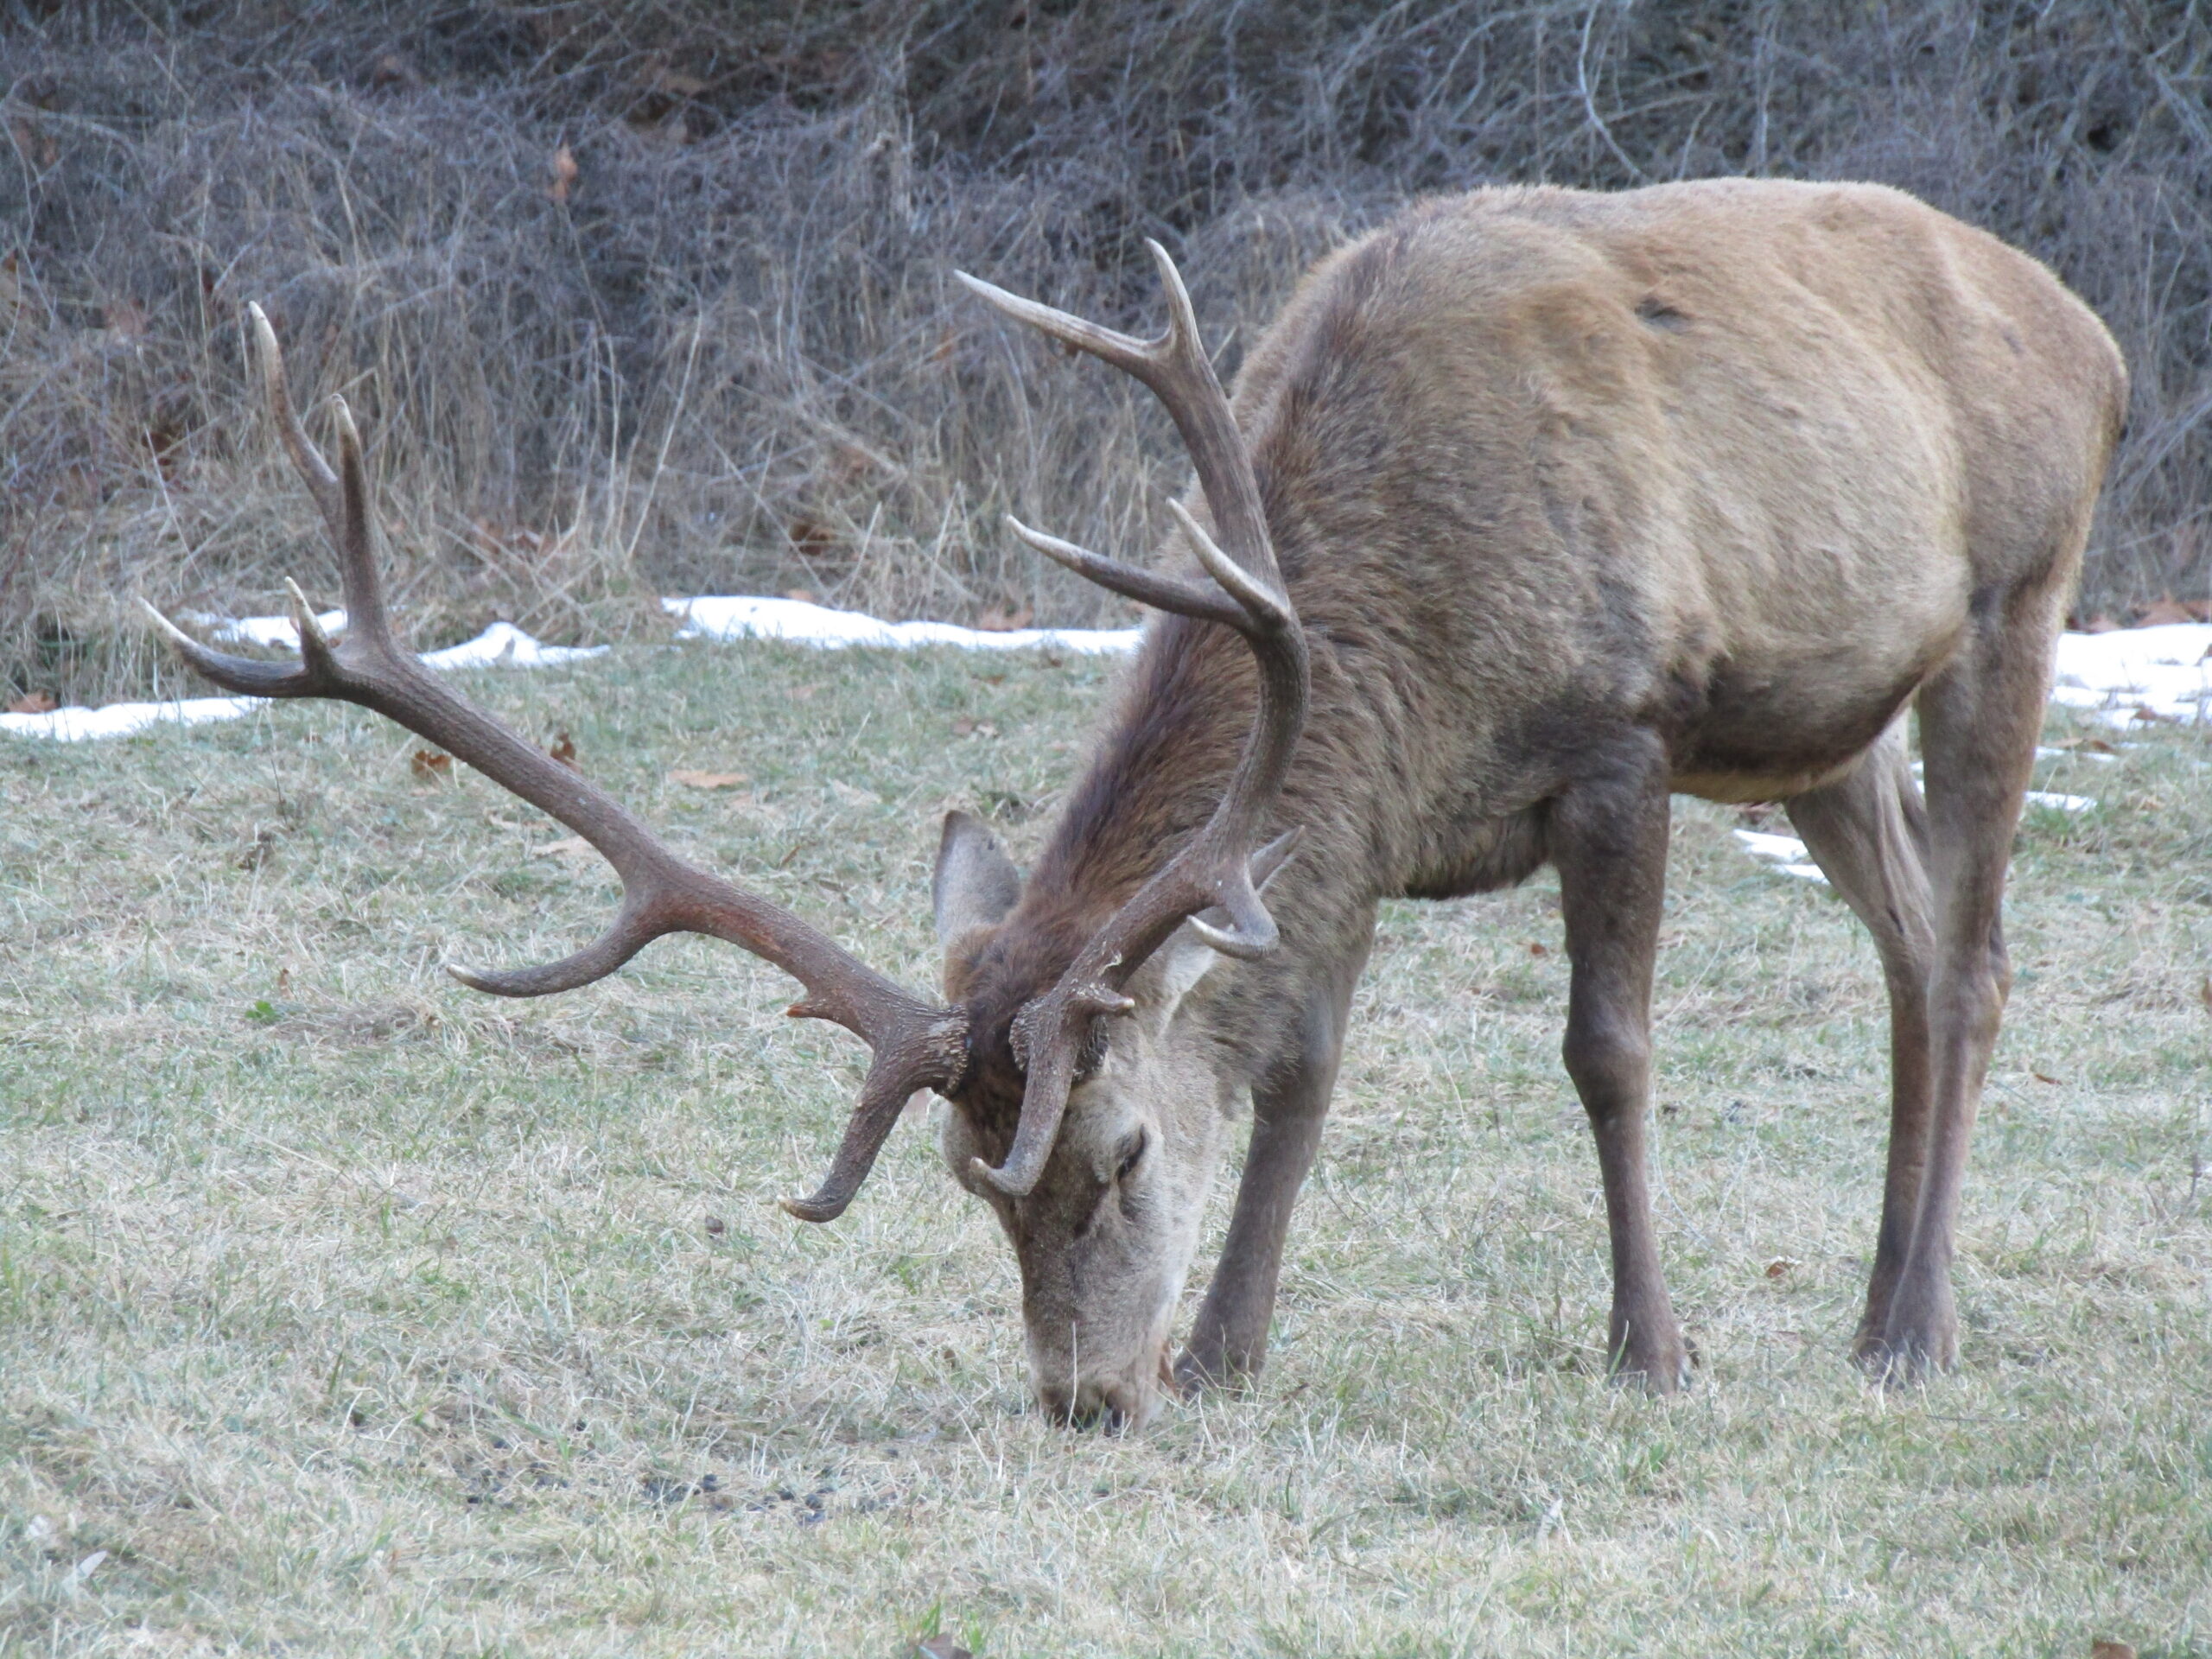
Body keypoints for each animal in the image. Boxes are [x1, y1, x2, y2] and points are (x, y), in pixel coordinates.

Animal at [156, 179, 2123, 1433]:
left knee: (1971, 960)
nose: (1084, 1400)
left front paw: (1651, 1354)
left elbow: (1607, 1051)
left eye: (1115, 1159)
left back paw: (1915, 1334)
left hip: (2015, 598)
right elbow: (1305, 1066)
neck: (1416, 651)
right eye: (972, 1191)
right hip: (1818, 728)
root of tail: (2089, 326)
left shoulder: (1621, 735)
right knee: (1906, 956)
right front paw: (1229, 1352)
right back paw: (1876, 1306)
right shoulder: (1347, 845)